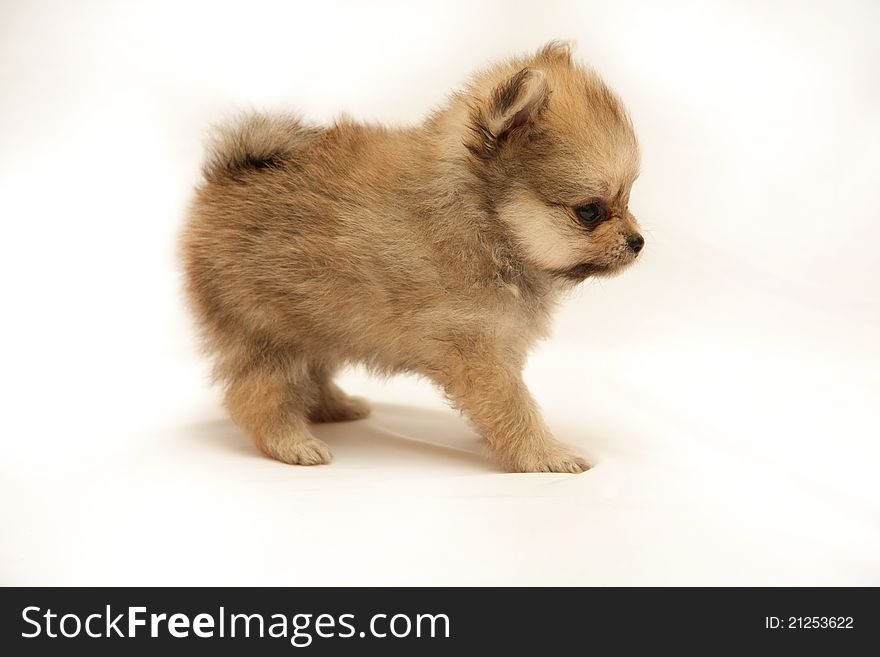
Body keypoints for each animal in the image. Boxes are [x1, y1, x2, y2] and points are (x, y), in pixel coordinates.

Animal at [182, 41, 644, 472]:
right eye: (590, 211)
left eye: (628, 197)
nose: (638, 241)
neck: (487, 227)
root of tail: (228, 174)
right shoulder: (477, 349)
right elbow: (513, 407)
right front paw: (545, 454)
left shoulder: (499, 344)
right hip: (267, 329)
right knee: (259, 393)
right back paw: (291, 442)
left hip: (321, 319)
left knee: (312, 371)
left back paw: (333, 406)